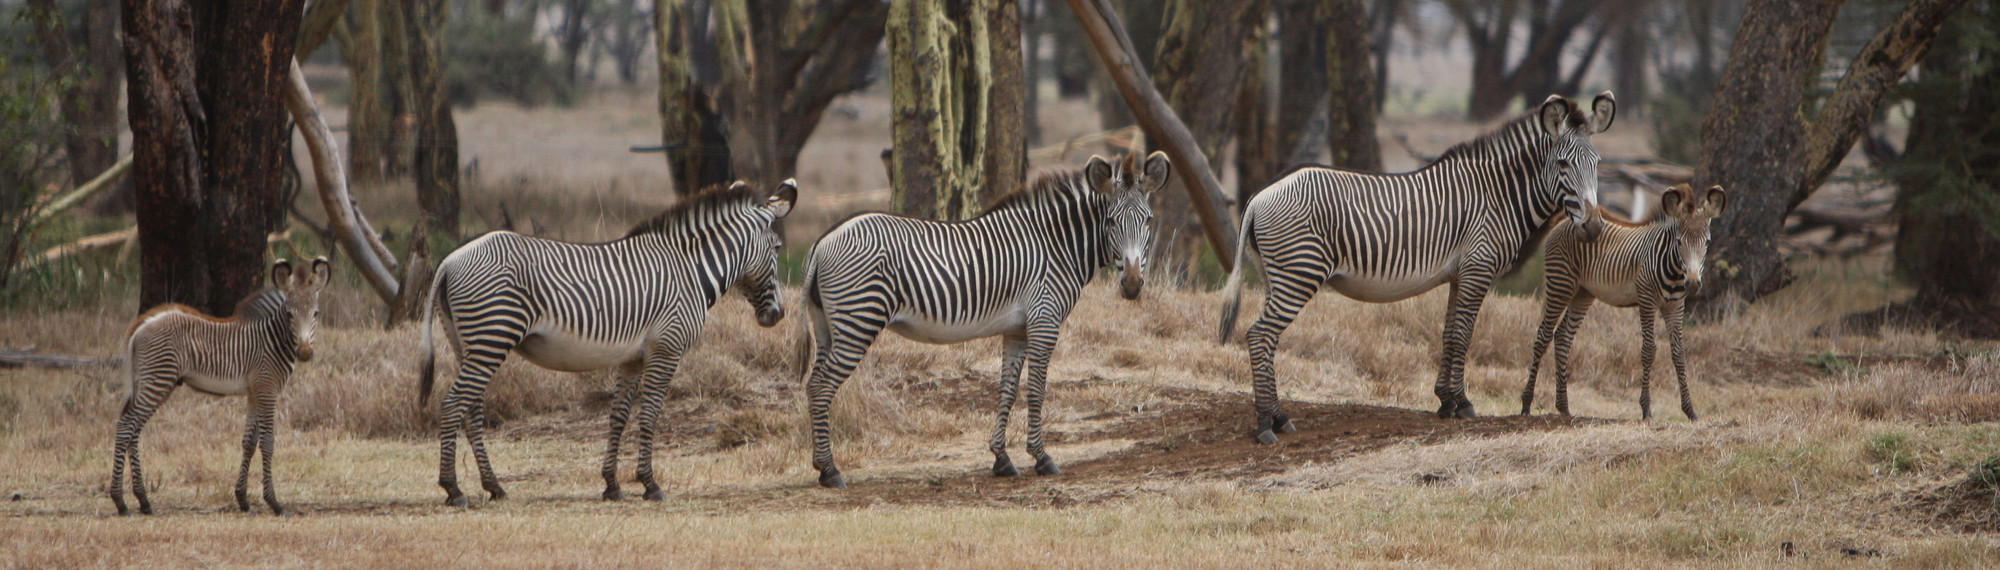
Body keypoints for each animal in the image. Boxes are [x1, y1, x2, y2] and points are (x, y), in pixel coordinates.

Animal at [110, 258, 330, 516]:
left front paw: (242, 499)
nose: (304, 352)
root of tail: (142, 324)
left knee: (133, 430)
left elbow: (249, 443)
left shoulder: (254, 392)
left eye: (316, 313)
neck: (272, 340)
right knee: (126, 426)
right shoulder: (267, 389)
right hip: (157, 380)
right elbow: (267, 443)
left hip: (153, 382)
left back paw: (143, 500)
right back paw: (120, 501)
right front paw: (274, 503)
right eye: (289, 314)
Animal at [416, 180, 796, 504]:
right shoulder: (666, 348)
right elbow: (650, 414)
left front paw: (612, 484)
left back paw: (493, 486)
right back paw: (453, 489)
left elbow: (619, 416)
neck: (689, 271)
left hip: (468, 342)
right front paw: (650, 484)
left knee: (471, 409)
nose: (777, 315)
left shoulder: (633, 357)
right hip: (491, 338)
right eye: (777, 248)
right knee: (453, 404)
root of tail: (449, 260)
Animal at [788, 152, 1168, 488]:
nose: (1132, 284)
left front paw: (1002, 459)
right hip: (859, 320)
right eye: (1111, 221)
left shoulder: (1017, 329)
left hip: (827, 327)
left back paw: (820, 465)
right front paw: (1041, 458)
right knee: (821, 386)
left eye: (1149, 220)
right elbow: (1037, 390)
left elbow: (1008, 390)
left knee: (813, 384)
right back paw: (831, 471)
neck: (1055, 245)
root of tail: (822, 242)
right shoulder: (1044, 320)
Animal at [1216, 93, 1624, 442]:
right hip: (1298, 274)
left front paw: (1445, 400)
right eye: (1563, 164)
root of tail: (1259, 197)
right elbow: (1464, 335)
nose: (1593, 228)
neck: (1498, 195)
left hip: (1277, 276)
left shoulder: (1461, 274)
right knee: (1260, 336)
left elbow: (1449, 333)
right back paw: (1266, 424)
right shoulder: (1479, 268)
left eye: (1598, 165)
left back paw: (1279, 417)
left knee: (1266, 339)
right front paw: (1463, 404)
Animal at [1520, 184, 1728, 420]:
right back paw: (1526, 404)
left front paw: (1690, 410)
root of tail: (1566, 221)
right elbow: (1648, 350)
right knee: (1543, 336)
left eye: (1707, 242)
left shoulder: (1675, 306)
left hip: (1583, 293)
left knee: (1563, 337)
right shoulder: (1646, 300)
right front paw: (1646, 409)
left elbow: (1679, 354)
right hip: (1560, 284)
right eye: (1679, 241)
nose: (1692, 284)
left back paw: (1564, 407)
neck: (1674, 270)